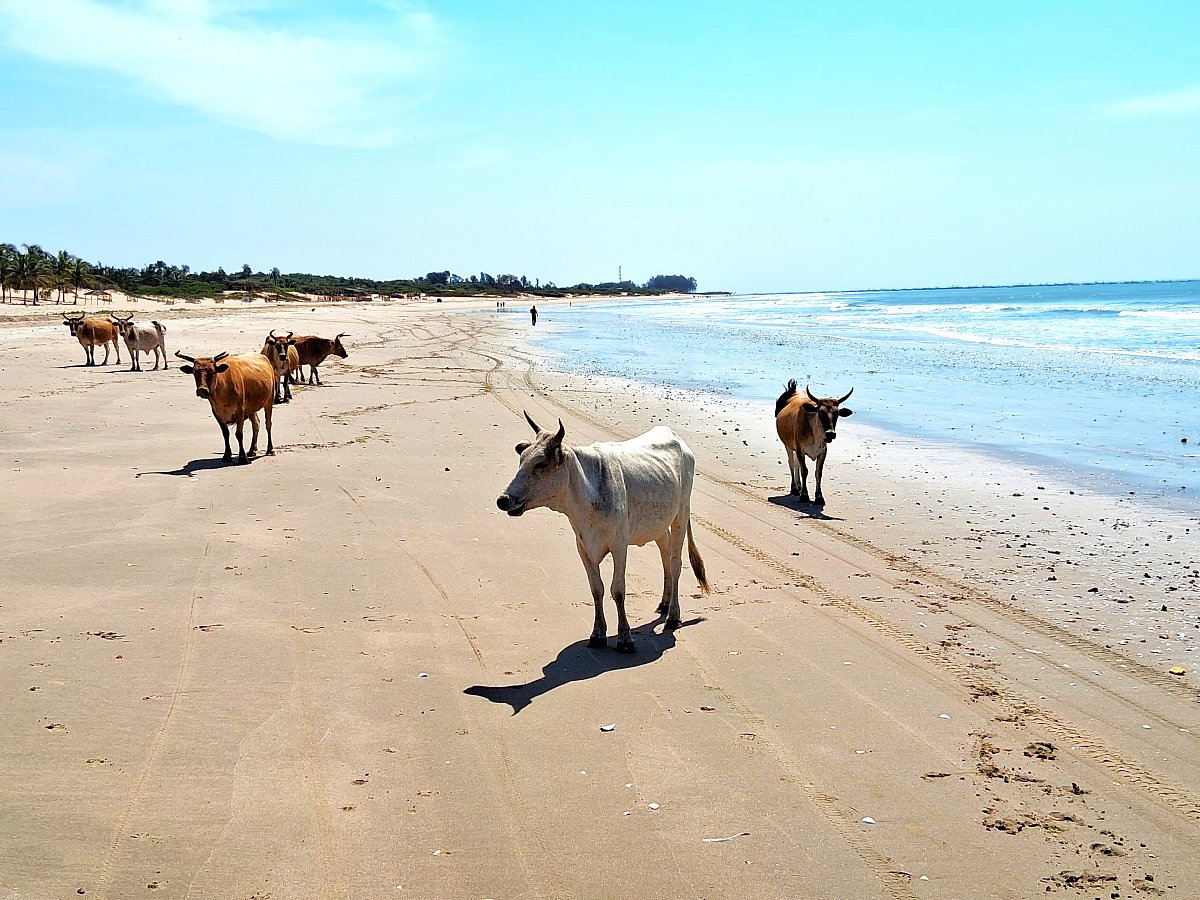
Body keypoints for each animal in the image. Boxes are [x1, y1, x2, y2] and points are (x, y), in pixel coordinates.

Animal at [499, 415, 710, 657]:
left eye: (540, 464)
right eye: (521, 460)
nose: (503, 500)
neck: (586, 491)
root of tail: (676, 438)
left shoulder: (619, 545)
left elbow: (617, 590)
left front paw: (625, 638)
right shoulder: (583, 547)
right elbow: (596, 589)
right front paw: (598, 635)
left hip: (681, 513)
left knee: (675, 563)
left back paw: (673, 616)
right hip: (659, 524)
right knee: (665, 556)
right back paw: (664, 605)